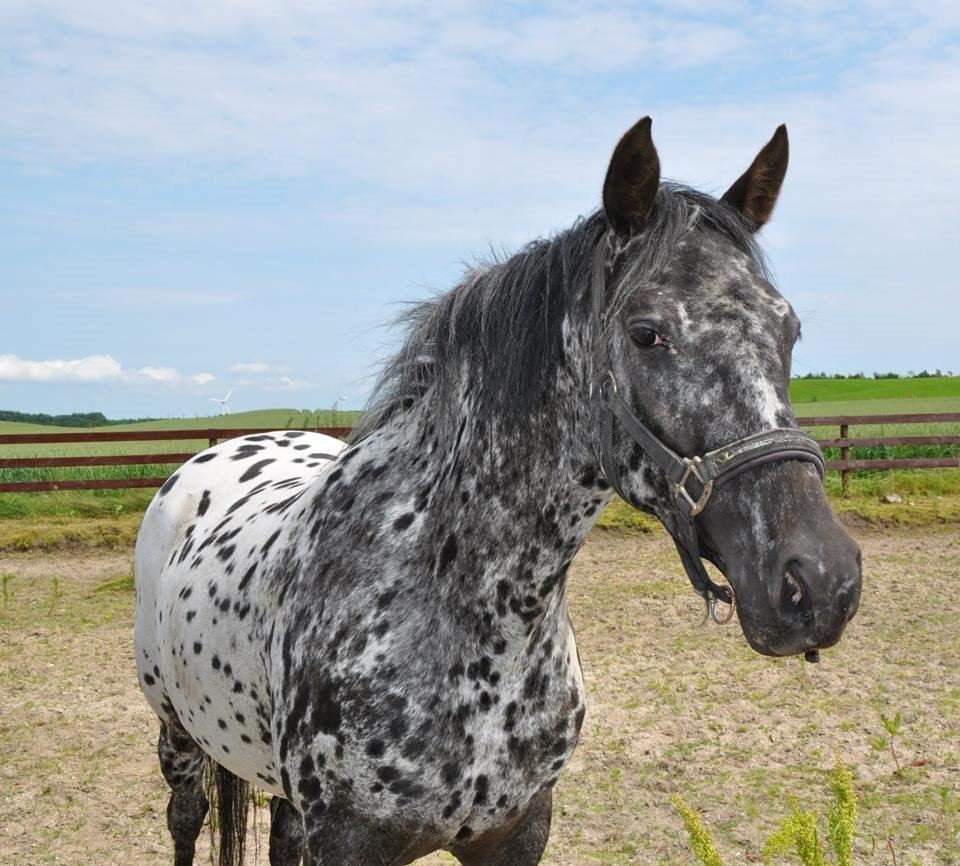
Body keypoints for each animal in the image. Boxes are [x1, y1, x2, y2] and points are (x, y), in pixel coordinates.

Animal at [133, 116, 864, 864]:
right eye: (646, 333)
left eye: (789, 329)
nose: (820, 582)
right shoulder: (348, 840)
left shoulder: (517, 830)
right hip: (176, 734)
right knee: (186, 818)